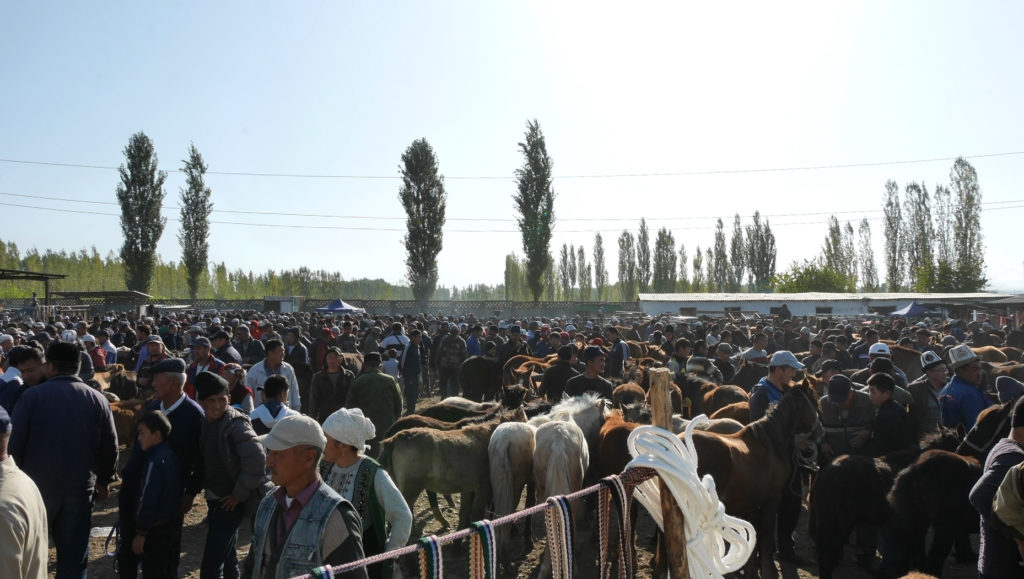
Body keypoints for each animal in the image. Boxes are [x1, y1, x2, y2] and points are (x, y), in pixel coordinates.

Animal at [688, 381, 823, 573]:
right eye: (814, 401)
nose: (820, 432)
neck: (770, 444)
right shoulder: (771, 499)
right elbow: (765, 535)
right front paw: (767, 569)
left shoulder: (750, 502)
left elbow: (752, 535)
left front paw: (749, 569)